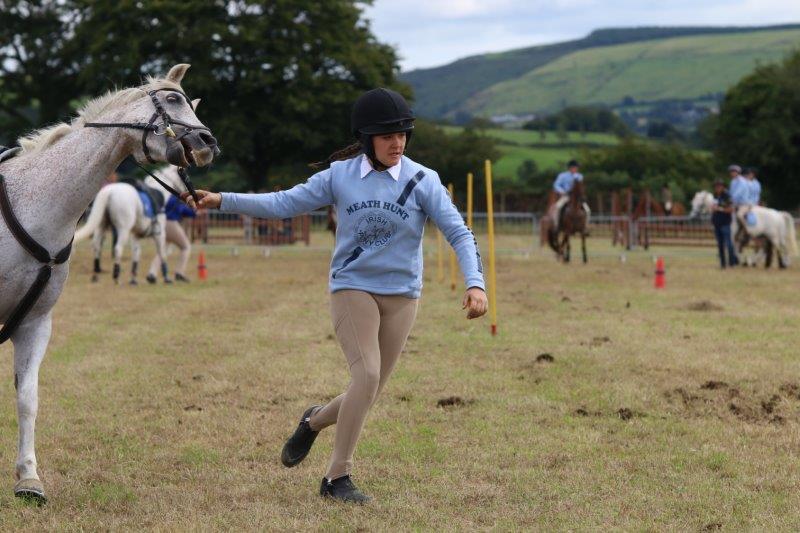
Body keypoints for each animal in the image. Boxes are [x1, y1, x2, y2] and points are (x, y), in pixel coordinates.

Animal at [0, 64, 218, 503]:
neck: (31, 208)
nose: (208, 143)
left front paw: (29, 478)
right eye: (173, 100)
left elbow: (27, 399)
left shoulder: (33, 324)